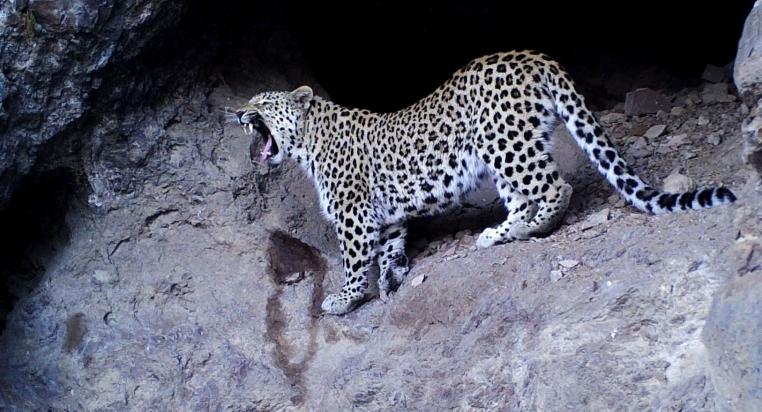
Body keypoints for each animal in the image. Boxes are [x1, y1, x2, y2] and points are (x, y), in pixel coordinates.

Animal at [235, 50, 736, 315]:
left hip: (503, 141)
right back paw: (499, 233)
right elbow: (392, 247)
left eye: (261, 101)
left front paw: (343, 299)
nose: (239, 113)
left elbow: (356, 260)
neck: (308, 140)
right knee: (523, 195)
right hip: (513, 144)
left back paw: (532, 228)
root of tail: (535, 57)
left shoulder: (353, 215)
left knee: (555, 187)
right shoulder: (385, 216)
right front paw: (393, 281)